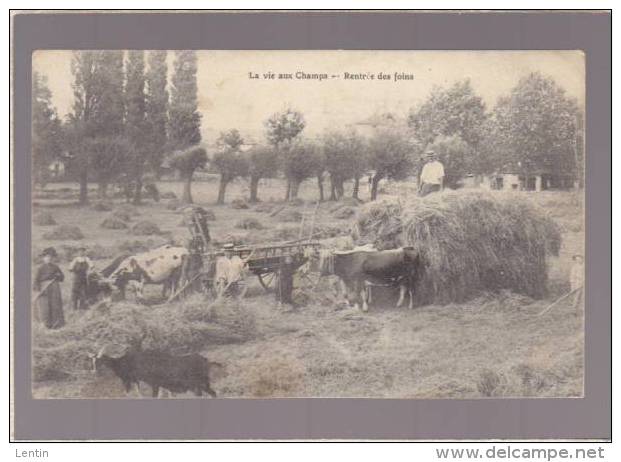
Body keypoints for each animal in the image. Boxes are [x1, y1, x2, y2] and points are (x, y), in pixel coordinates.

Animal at [89, 342, 220, 398]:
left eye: (98, 361)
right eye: (92, 362)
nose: (94, 372)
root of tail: (205, 360)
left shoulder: (131, 380)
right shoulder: (138, 381)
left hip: (199, 384)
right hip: (201, 385)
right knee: (211, 394)